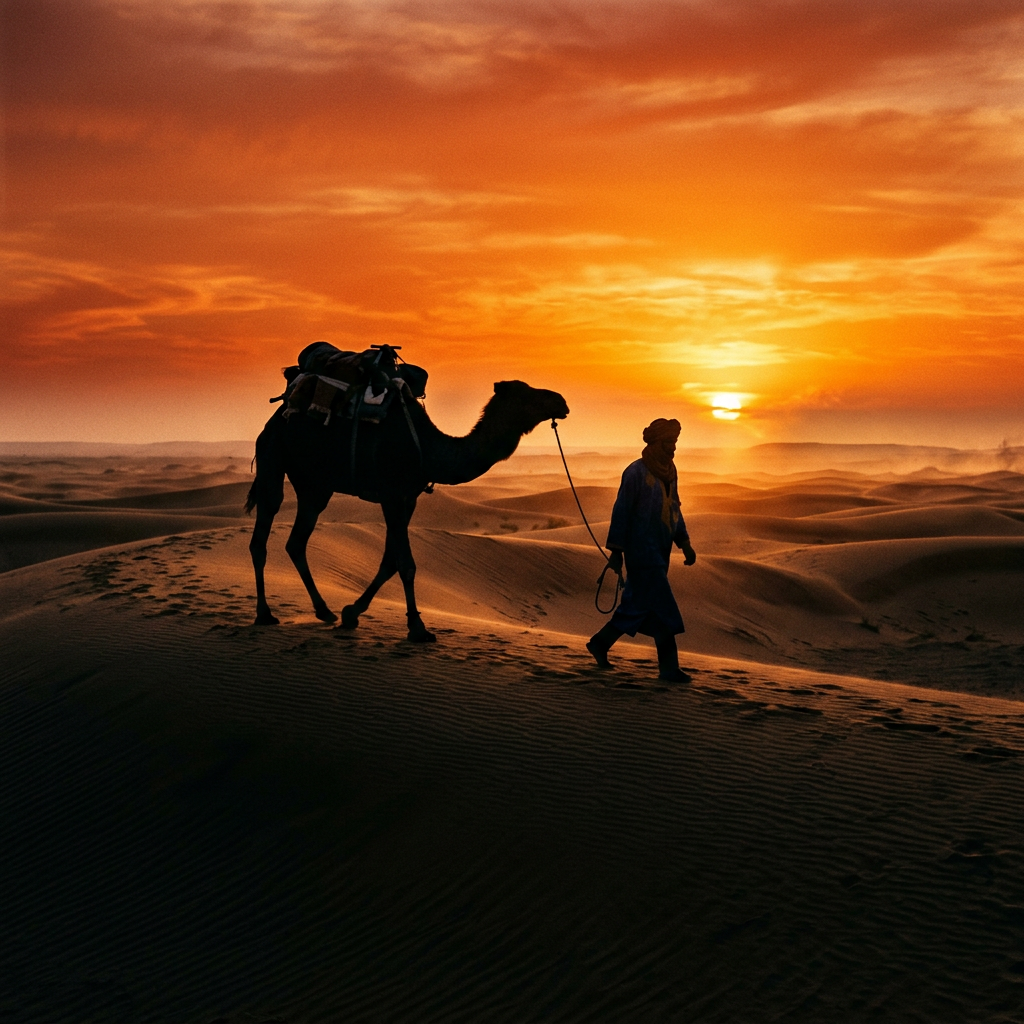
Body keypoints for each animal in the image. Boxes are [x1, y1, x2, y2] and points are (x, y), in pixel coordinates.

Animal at [245, 376, 570, 641]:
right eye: (526, 394)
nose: (561, 401)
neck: (429, 449)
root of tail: (274, 420)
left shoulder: (409, 498)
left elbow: (390, 560)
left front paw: (351, 612)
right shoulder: (391, 493)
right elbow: (406, 562)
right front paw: (417, 627)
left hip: (316, 486)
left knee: (296, 541)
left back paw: (324, 611)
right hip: (273, 456)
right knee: (262, 532)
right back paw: (264, 614)